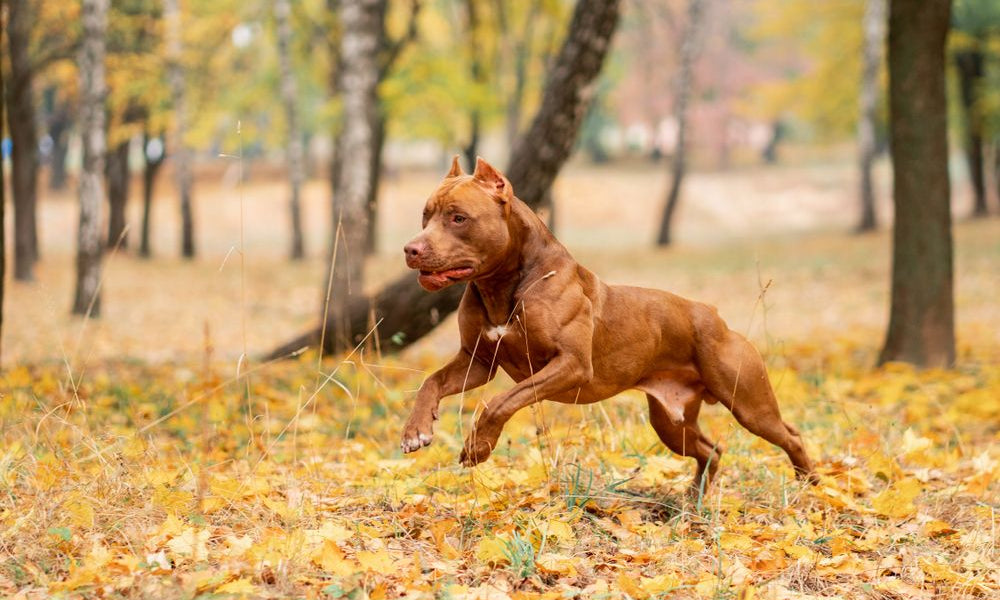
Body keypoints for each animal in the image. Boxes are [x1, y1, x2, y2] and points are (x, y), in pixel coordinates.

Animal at [398, 156, 812, 492]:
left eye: (458, 218)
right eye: (425, 216)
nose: (411, 249)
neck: (503, 286)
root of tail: (712, 313)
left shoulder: (570, 365)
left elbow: (501, 401)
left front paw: (478, 447)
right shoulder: (477, 362)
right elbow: (431, 382)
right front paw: (416, 430)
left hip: (749, 404)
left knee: (790, 435)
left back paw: (809, 483)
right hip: (670, 423)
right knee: (711, 450)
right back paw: (693, 502)